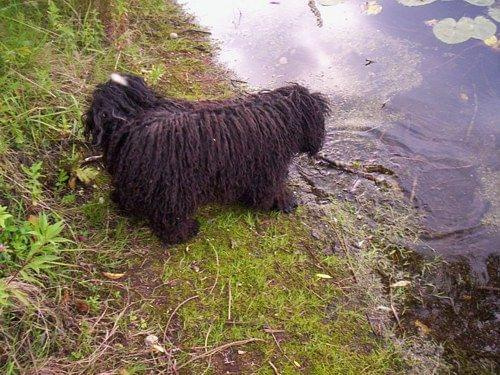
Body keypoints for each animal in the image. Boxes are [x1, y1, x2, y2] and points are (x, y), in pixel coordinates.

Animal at [84, 74, 330, 244]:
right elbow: (272, 189)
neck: (279, 116)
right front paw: (285, 202)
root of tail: (126, 123)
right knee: (170, 216)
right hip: (173, 187)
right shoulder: (267, 169)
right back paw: (184, 233)